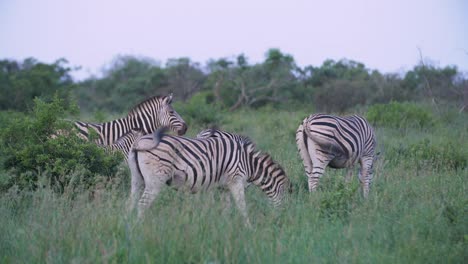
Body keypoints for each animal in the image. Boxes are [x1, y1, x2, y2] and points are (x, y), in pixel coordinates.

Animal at [126, 127, 290, 224]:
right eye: (283, 199)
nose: (280, 221)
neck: (249, 163)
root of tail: (139, 142)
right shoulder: (236, 180)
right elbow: (242, 207)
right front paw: (249, 228)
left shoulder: (224, 187)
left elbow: (226, 208)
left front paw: (225, 227)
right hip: (156, 179)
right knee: (142, 204)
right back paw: (140, 228)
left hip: (137, 179)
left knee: (131, 203)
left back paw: (129, 226)